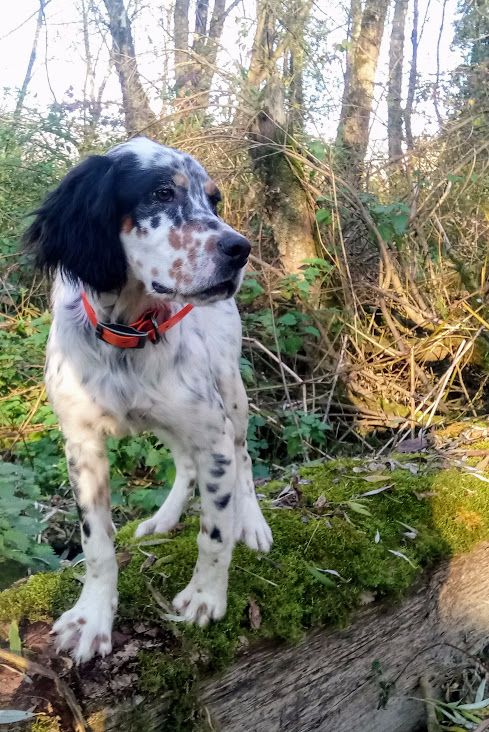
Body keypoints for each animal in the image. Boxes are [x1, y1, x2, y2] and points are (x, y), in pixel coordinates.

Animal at [23, 136, 270, 664]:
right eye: (161, 193)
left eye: (214, 201)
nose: (240, 249)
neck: (128, 332)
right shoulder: (81, 445)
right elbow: (97, 543)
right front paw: (92, 618)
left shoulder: (212, 433)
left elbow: (215, 532)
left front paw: (205, 598)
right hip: (168, 421)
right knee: (185, 464)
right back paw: (163, 519)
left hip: (230, 396)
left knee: (243, 456)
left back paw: (253, 522)